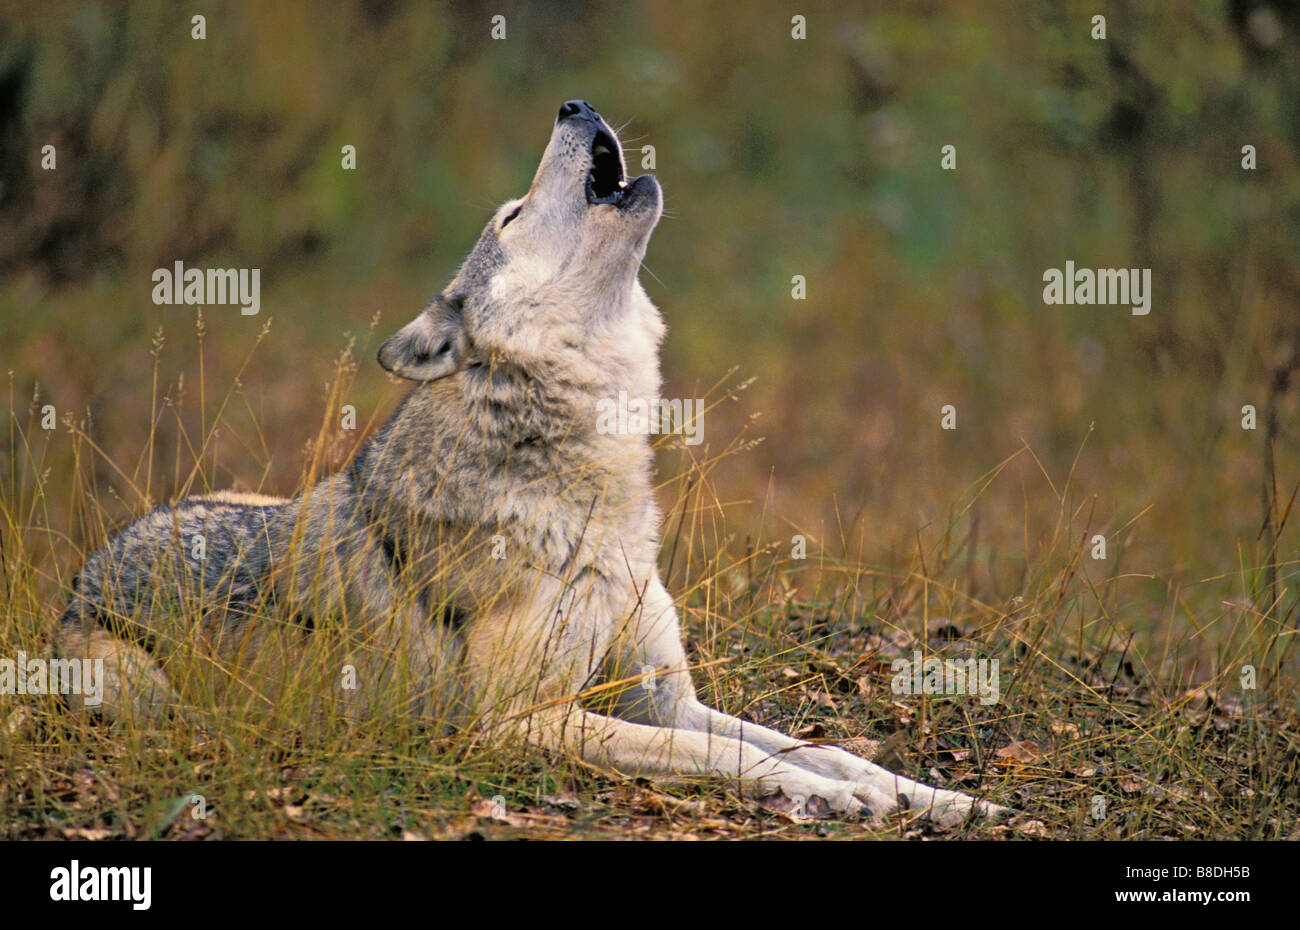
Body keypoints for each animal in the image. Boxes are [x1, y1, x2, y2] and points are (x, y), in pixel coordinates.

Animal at [58, 102, 1003, 827]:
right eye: (511, 217)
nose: (574, 105)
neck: (594, 492)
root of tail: (79, 581)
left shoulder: (661, 691)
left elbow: (827, 746)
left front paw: (944, 799)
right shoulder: (522, 720)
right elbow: (714, 753)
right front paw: (829, 799)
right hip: (138, 686)